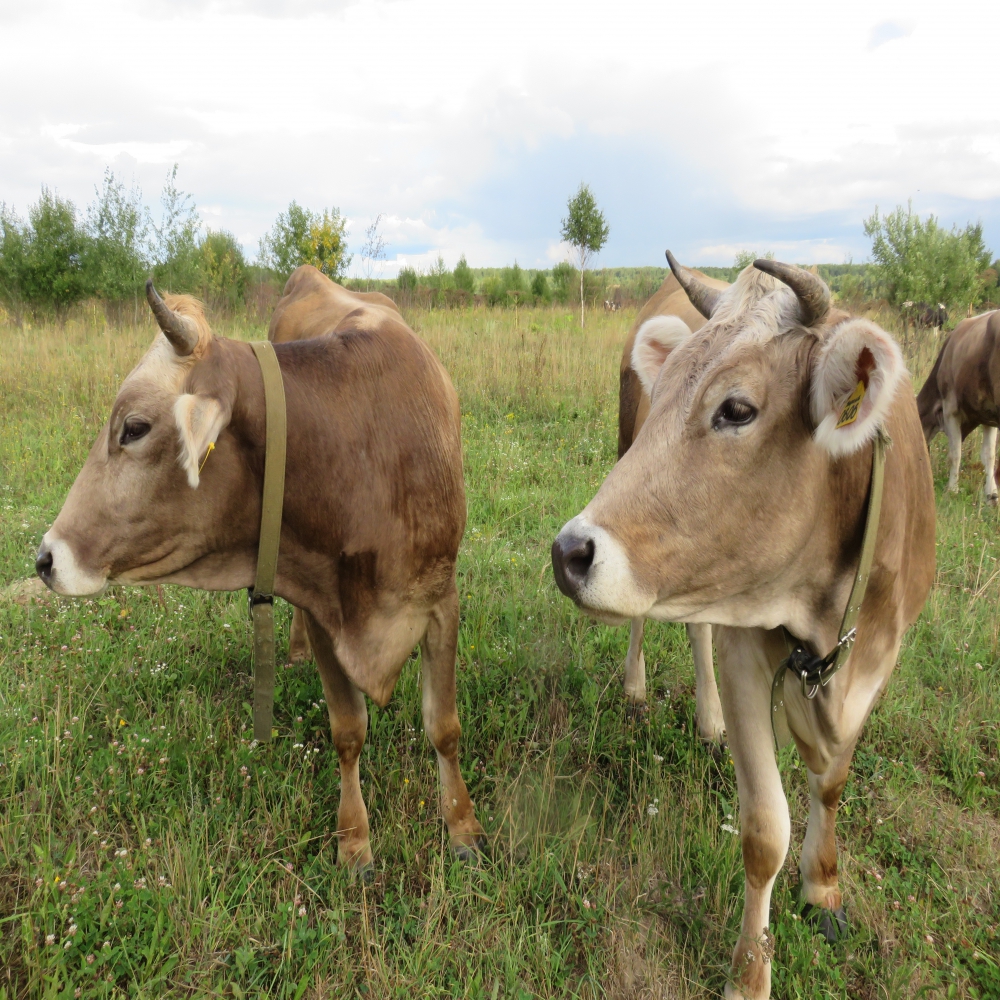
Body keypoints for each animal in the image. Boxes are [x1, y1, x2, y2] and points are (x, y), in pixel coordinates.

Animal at [32, 280, 484, 868]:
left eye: (134, 428)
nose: (46, 558)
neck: (361, 454)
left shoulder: (441, 600)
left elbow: (444, 727)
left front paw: (463, 827)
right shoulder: (321, 606)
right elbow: (348, 730)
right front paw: (354, 839)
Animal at [916, 308, 996, 504]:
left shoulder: (950, 410)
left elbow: (955, 453)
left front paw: (952, 489)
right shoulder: (989, 417)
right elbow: (989, 455)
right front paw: (991, 495)